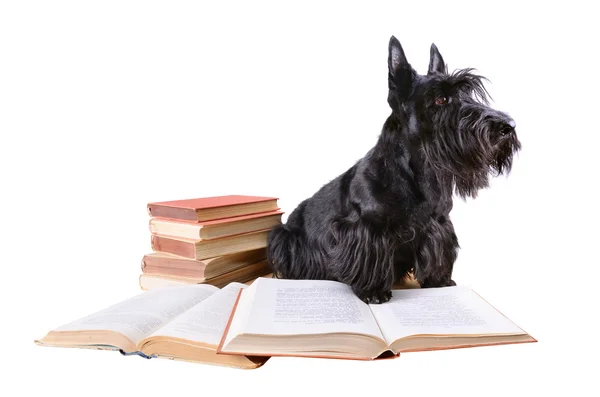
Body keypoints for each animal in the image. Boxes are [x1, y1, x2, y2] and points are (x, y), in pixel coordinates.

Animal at [268, 37, 520, 304]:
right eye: (441, 99)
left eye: (467, 93)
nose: (508, 126)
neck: (419, 174)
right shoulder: (368, 228)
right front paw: (372, 290)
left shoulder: (439, 224)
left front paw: (439, 281)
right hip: (286, 239)